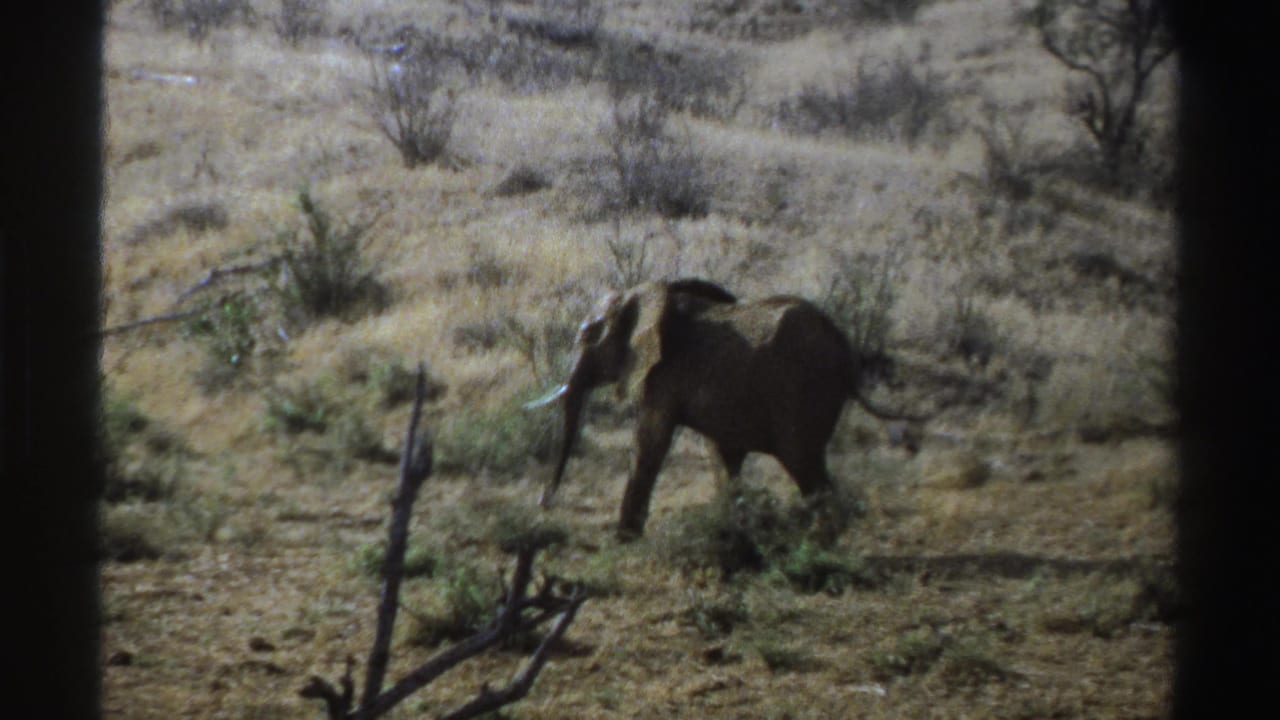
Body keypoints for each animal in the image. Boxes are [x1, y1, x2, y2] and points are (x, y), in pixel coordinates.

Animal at [530, 278, 924, 539]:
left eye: (587, 337)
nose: (544, 504)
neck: (644, 297)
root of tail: (847, 356)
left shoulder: (663, 374)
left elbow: (650, 442)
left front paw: (623, 540)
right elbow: (721, 452)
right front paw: (732, 527)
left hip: (804, 391)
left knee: (804, 463)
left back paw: (821, 542)